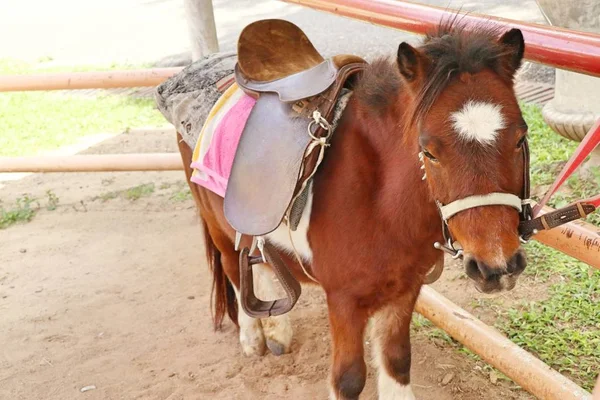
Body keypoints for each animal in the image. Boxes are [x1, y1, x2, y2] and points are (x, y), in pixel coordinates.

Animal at [178, 22, 528, 400]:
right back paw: (252, 337)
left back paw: (276, 331)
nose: (495, 266)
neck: (379, 203)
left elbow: (397, 359)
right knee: (233, 268)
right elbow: (348, 378)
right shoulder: (344, 301)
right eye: (429, 151)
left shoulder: (405, 289)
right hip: (217, 226)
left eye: (520, 139)